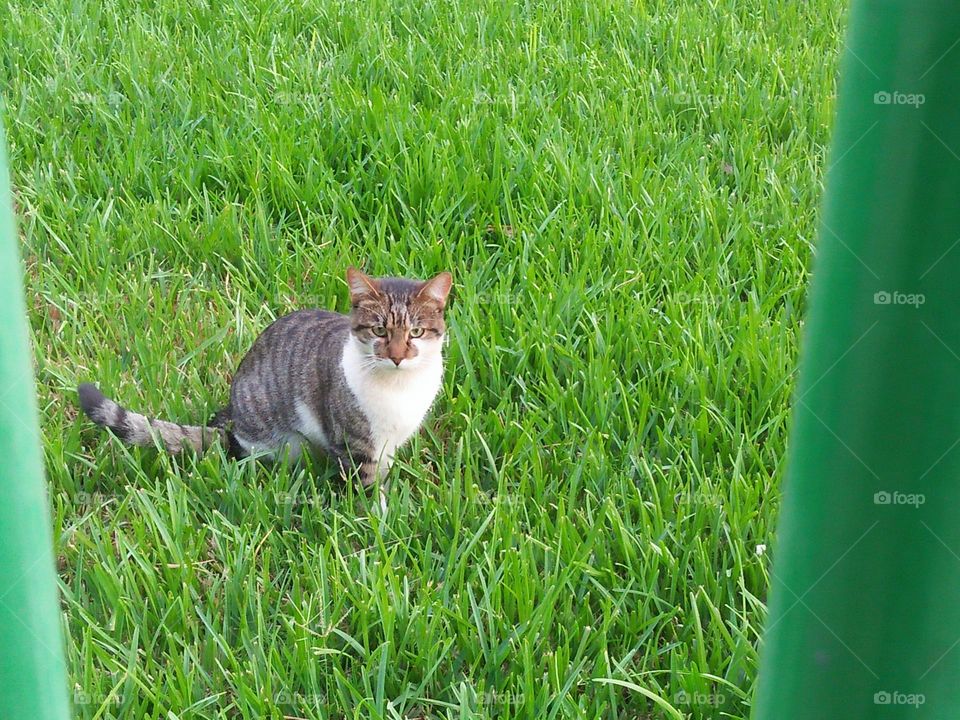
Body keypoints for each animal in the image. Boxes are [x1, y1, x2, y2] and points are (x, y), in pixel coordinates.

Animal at [77, 268, 452, 498]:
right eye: (379, 330)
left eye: (416, 332)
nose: (397, 356)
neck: (399, 389)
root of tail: (234, 429)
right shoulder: (355, 445)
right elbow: (368, 488)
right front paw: (378, 521)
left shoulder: (388, 444)